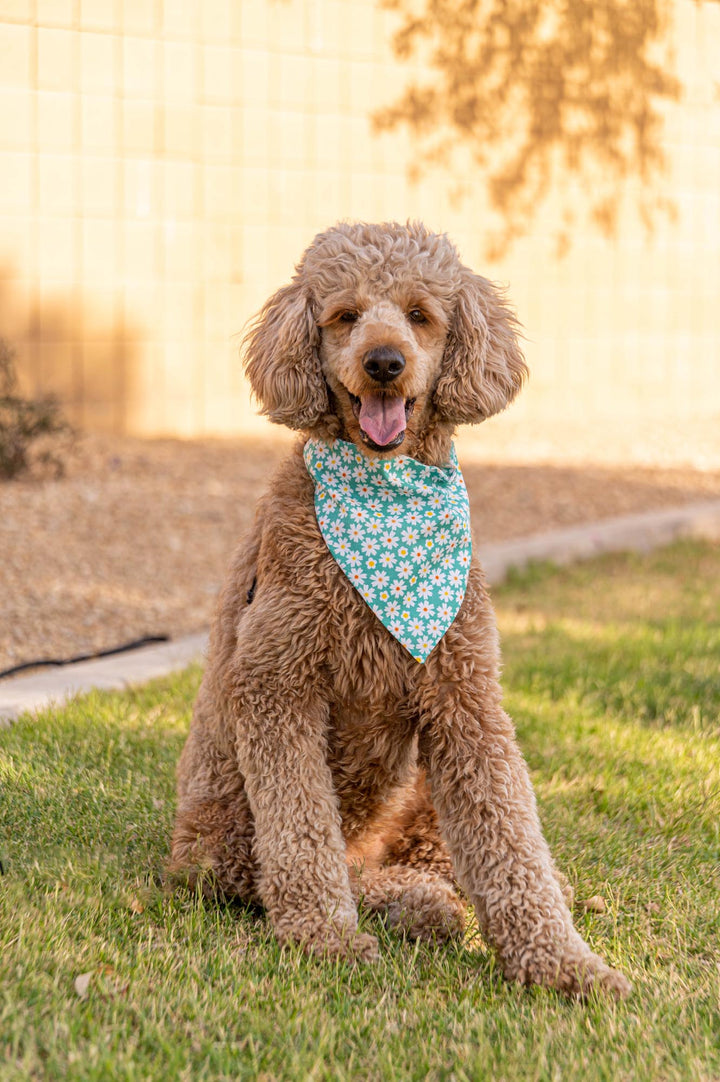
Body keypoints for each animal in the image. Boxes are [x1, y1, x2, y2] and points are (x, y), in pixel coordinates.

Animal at [171, 219, 632, 995]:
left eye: (421, 315)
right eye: (344, 315)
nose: (385, 362)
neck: (386, 492)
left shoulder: (465, 701)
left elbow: (512, 841)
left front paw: (565, 963)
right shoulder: (277, 685)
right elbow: (301, 832)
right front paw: (324, 938)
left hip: (423, 792)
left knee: (449, 862)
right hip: (223, 845)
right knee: (320, 873)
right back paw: (413, 907)